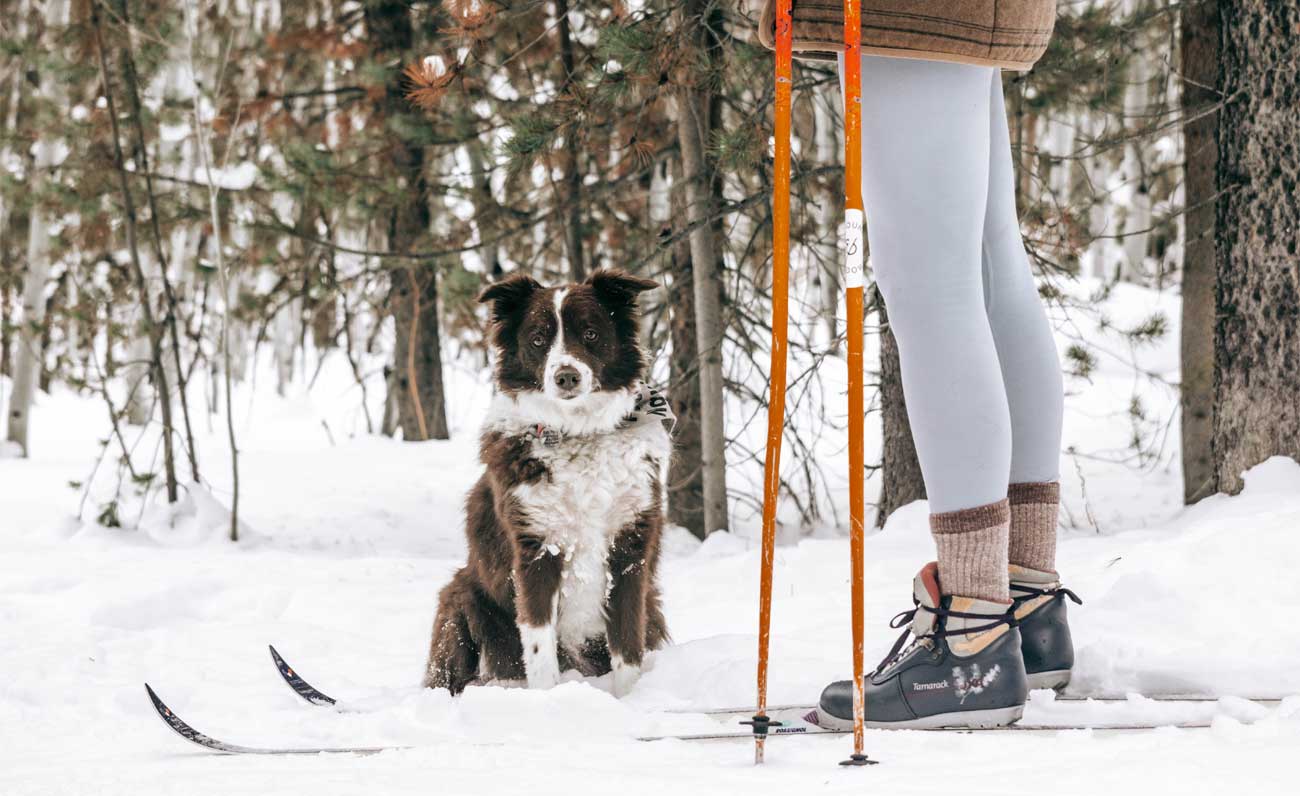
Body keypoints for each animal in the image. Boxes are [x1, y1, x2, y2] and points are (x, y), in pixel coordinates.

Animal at [423, 269, 670, 697]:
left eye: (590, 333)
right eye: (538, 339)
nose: (565, 376)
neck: (578, 434)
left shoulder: (630, 548)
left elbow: (627, 645)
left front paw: (628, 700)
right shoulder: (536, 549)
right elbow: (539, 647)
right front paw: (549, 701)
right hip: (461, 598)